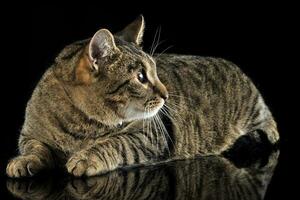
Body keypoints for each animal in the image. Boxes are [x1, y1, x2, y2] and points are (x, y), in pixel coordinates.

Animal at [6, 16, 278, 178]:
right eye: (140, 77)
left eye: (156, 72)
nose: (167, 94)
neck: (81, 126)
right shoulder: (29, 134)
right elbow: (35, 147)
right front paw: (24, 160)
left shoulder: (148, 136)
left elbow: (115, 143)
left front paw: (86, 157)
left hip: (257, 114)